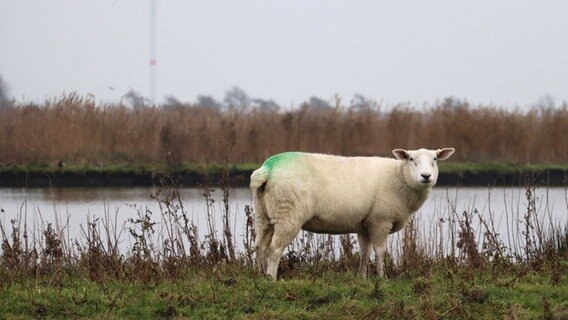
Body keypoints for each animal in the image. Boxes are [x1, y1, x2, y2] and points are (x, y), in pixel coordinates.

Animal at [251, 148, 454, 280]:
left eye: (435, 159)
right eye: (411, 159)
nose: (426, 176)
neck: (400, 177)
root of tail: (267, 169)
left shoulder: (365, 223)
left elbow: (365, 251)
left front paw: (362, 277)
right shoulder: (381, 220)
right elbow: (380, 251)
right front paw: (382, 277)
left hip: (263, 214)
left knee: (260, 246)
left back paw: (261, 276)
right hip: (288, 215)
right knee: (274, 249)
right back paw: (272, 279)